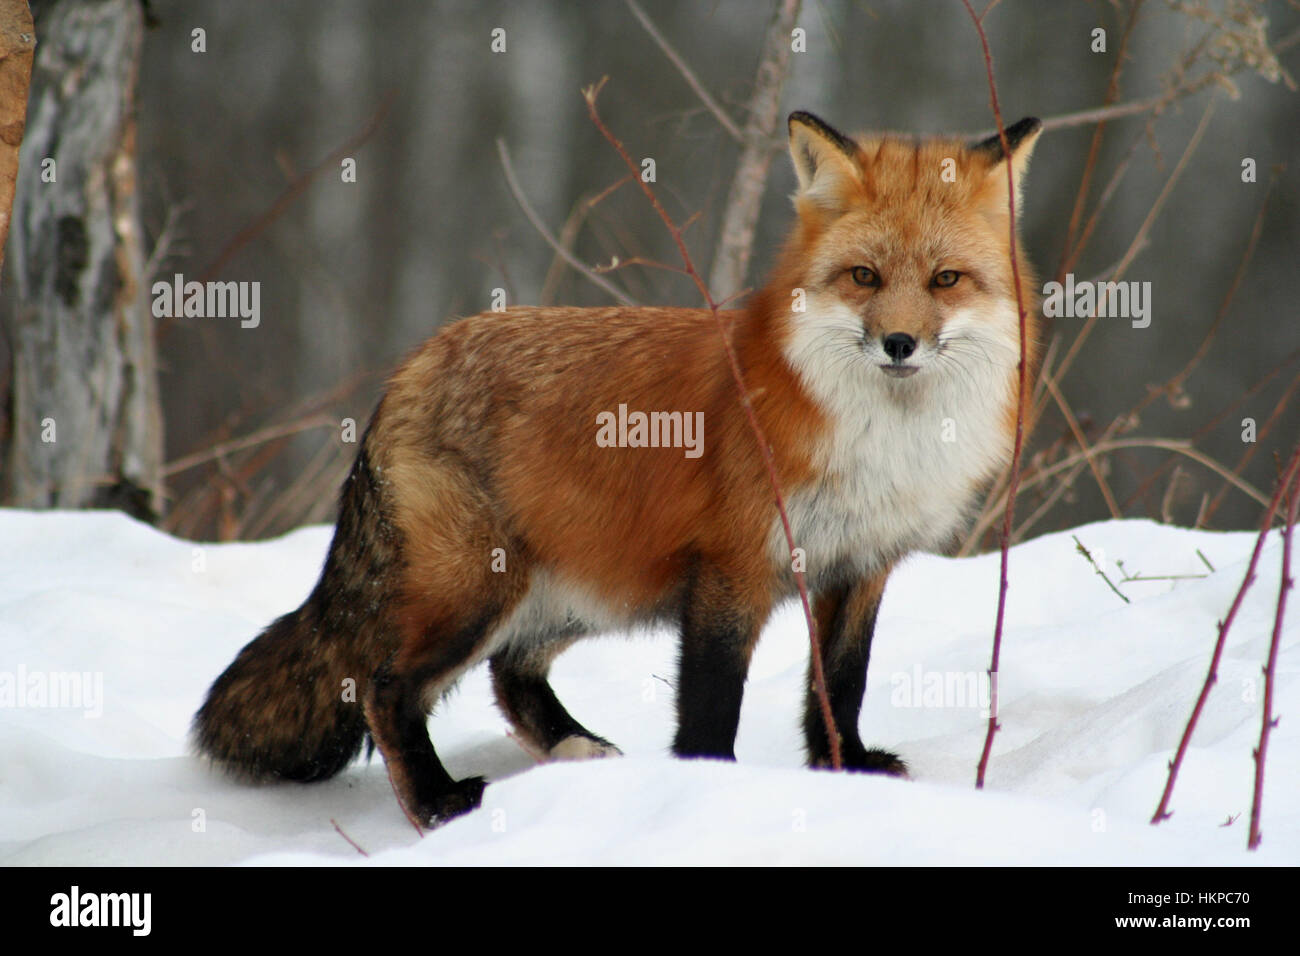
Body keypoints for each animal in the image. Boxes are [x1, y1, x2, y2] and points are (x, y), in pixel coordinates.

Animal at [192, 110, 1040, 822]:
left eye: (945, 280)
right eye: (864, 277)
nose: (900, 343)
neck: (881, 441)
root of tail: (410, 365)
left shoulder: (862, 565)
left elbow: (839, 682)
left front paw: (846, 770)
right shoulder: (733, 565)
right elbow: (711, 700)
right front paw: (707, 787)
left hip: (577, 591)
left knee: (510, 674)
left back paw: (578, 752)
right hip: (479, 587)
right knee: (385, 685)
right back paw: (437, 802)